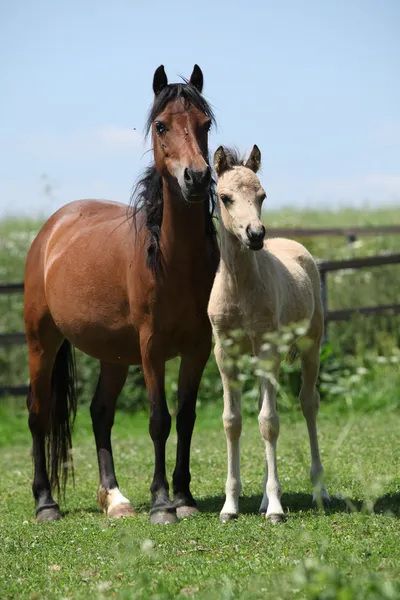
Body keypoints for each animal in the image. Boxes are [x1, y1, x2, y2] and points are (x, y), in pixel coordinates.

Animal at [23, 65, 219, 524]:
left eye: (205, 124)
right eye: (161, 125)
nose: (197, 178)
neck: (172, 259)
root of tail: (52, 230)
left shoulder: (198, 347)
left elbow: (186, 417)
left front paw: (184, 497)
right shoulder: (151, 347)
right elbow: (159, 420)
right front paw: (163, 504)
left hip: (112, 353)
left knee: (100, 413)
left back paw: (116, 499)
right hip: (41, 343)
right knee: (38, 414)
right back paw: (46, 503)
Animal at [208, 148, 330, 524]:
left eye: (262, 195)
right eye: (225, 197)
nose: (255, 234)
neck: (240, 288)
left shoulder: (267, 350)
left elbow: (269, 422)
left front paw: (276, 508)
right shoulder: (225, 354)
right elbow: (233, 421)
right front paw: (230, 506)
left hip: (310, 345)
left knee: (307, 404)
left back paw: (319, 491)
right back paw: (262, 498)